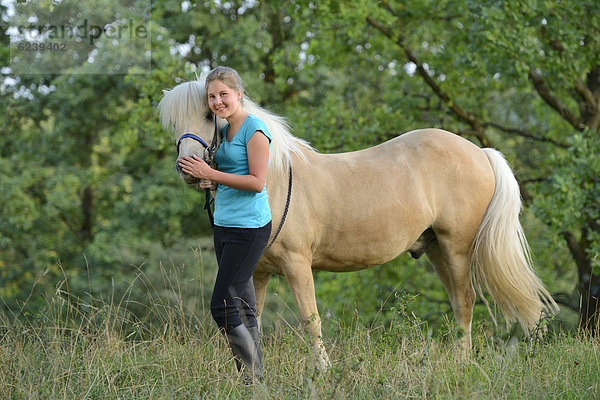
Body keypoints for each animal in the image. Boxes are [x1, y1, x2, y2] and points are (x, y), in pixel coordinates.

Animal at [158, 80, 556, 368]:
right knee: (460, 303)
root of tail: (480, 152)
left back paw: (462, 365)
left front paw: (322, 370)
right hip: (436, 250)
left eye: (209, 114)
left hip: (456, 247)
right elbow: (247, 321)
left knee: (467, 300)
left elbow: (311, 319)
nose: (188, 168)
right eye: (174, 123)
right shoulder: (257, 271)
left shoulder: (297, 265)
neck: (274, 178)